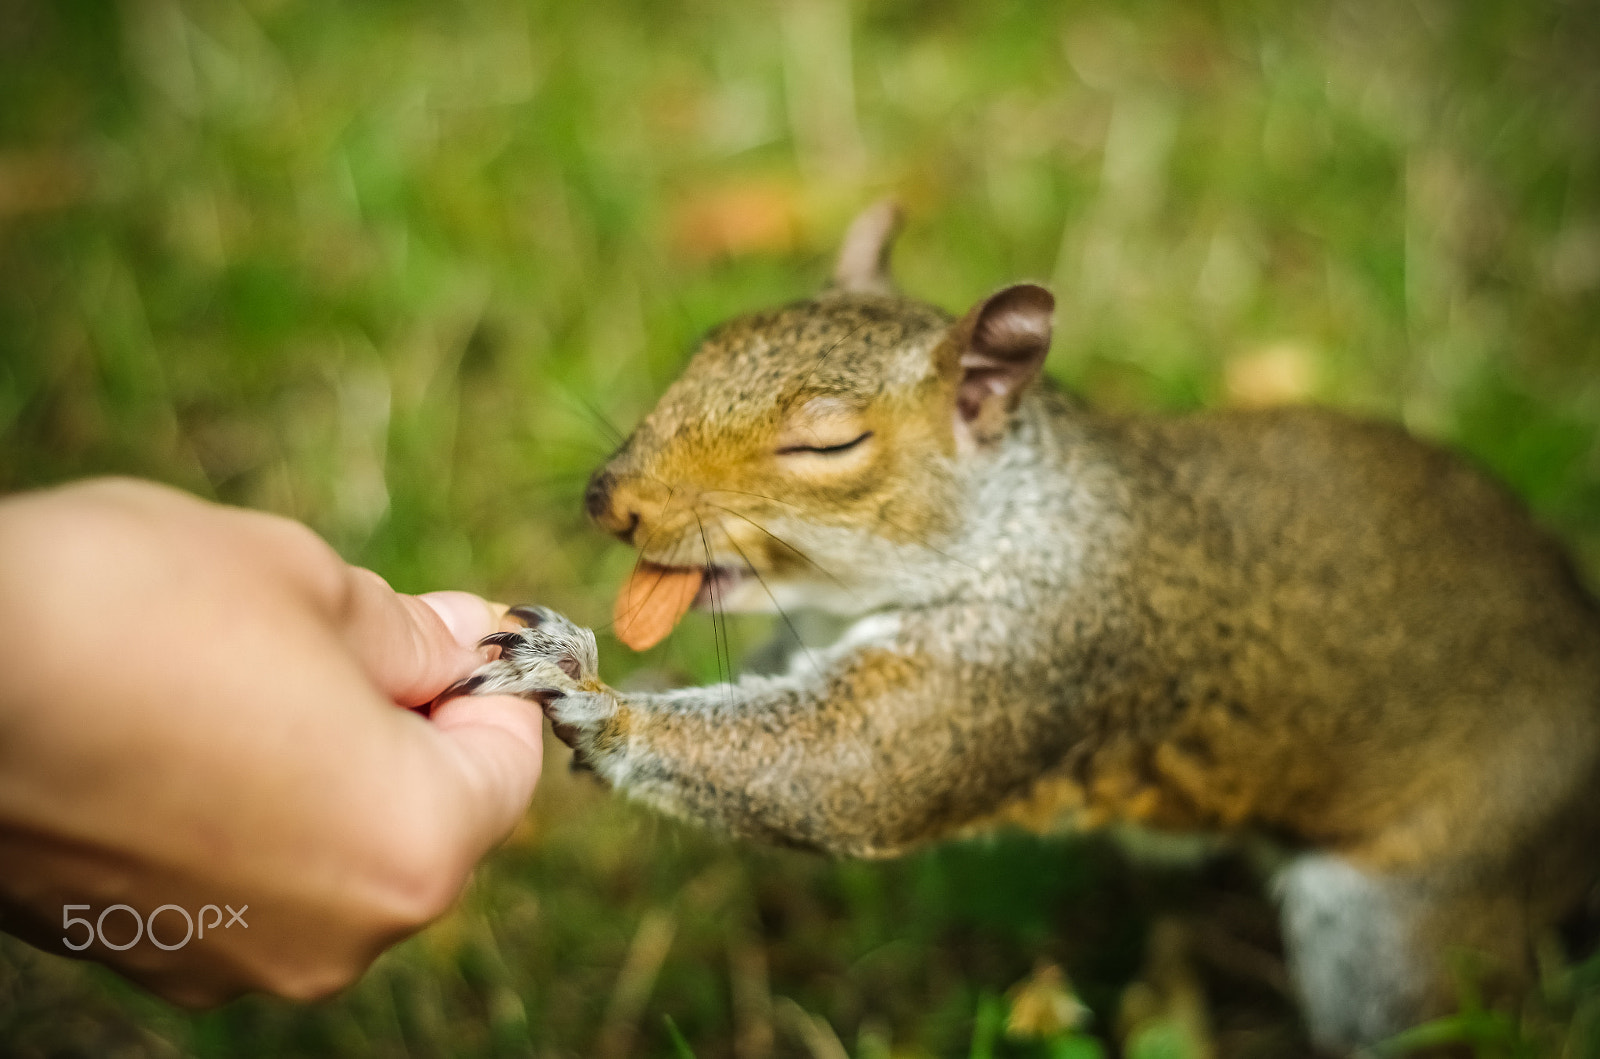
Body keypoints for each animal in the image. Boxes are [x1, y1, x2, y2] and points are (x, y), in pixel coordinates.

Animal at [444, 201, 1600, 1055]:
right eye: (705, 347)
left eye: (828, 445)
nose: (611, 500)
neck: (1013, 514)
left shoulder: (1040, 650)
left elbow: (846, 771)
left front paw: (586, 696)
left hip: (1409, 914)